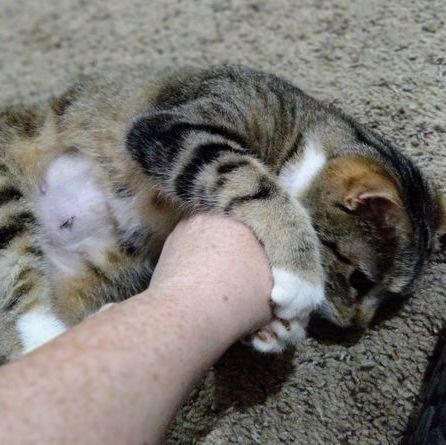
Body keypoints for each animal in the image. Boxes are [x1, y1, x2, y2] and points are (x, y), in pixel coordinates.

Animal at [0, 64, 444, 362]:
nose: (356, 327)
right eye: (360, 280)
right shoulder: (175, 127)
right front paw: (300, 274)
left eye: (388, 299)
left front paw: (279, 329)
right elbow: (253, 181)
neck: (299, 135)